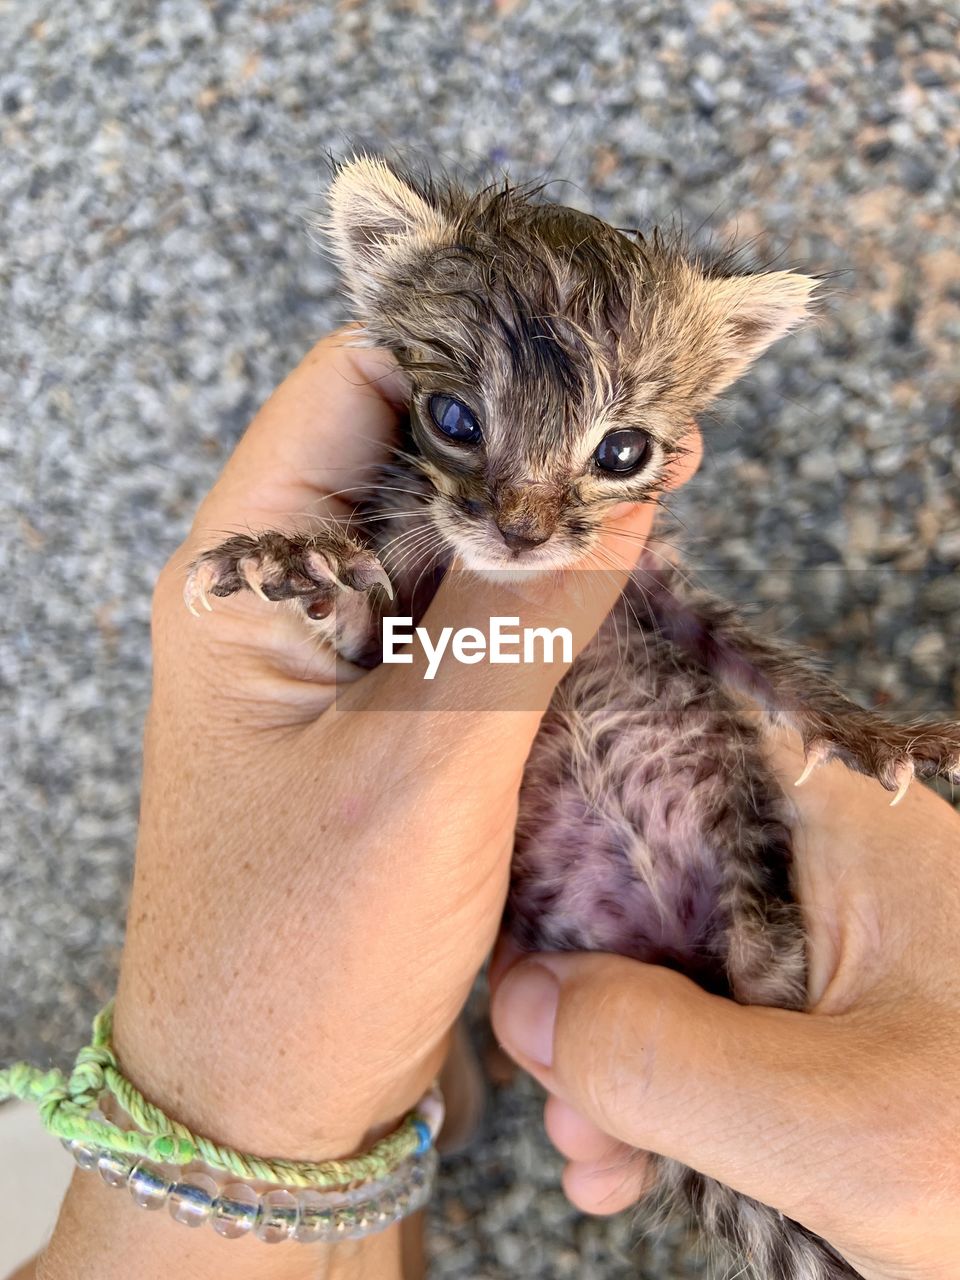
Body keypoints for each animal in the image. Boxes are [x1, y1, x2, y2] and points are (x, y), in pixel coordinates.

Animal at [181, 162, 960, 1280]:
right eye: (453, 418)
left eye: (623, 449)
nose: (523, 530)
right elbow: (367, 612)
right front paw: (303, 559)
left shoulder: (666, 598)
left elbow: (767, 671)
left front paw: (885, 737)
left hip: (760, 927)